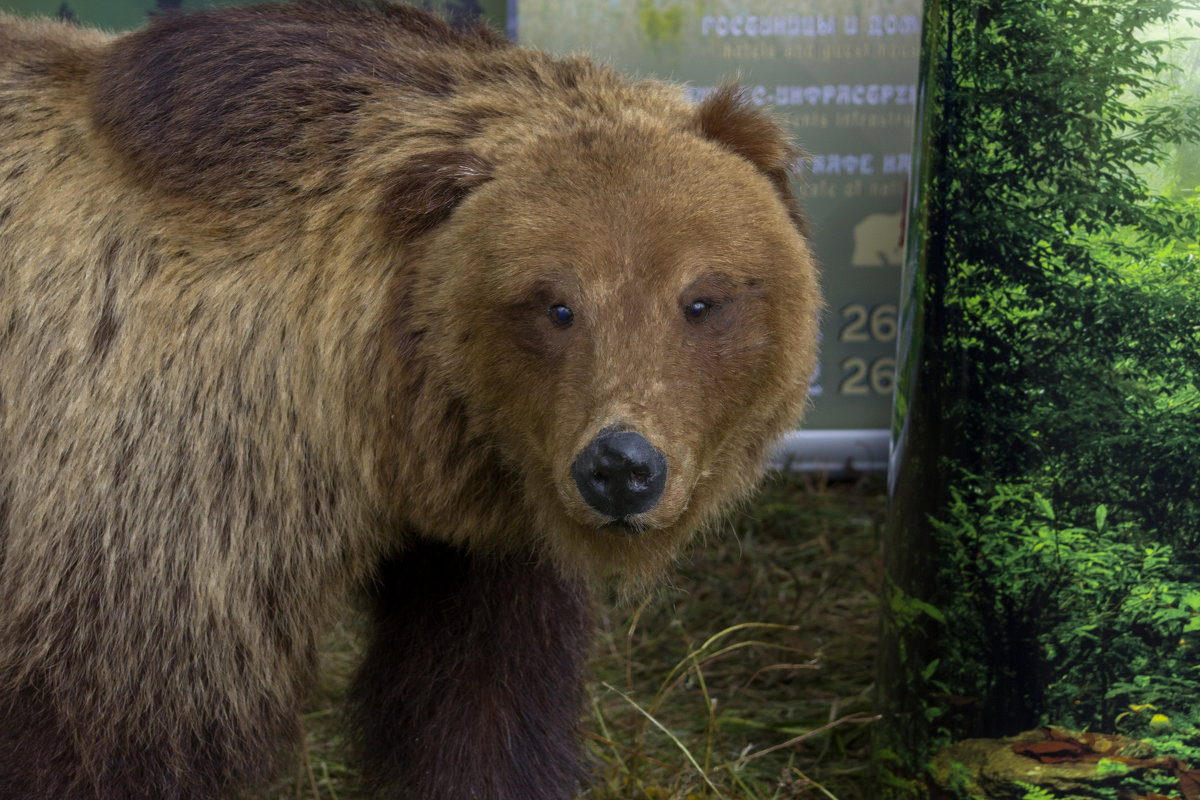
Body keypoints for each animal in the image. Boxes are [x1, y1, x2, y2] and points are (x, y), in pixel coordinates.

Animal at [0, 3, 820, 796]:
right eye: (555, 305)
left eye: (701, 298)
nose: (621, 466)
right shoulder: (155, 515)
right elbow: (108, 736)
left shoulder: (484, 547)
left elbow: (478, 702)